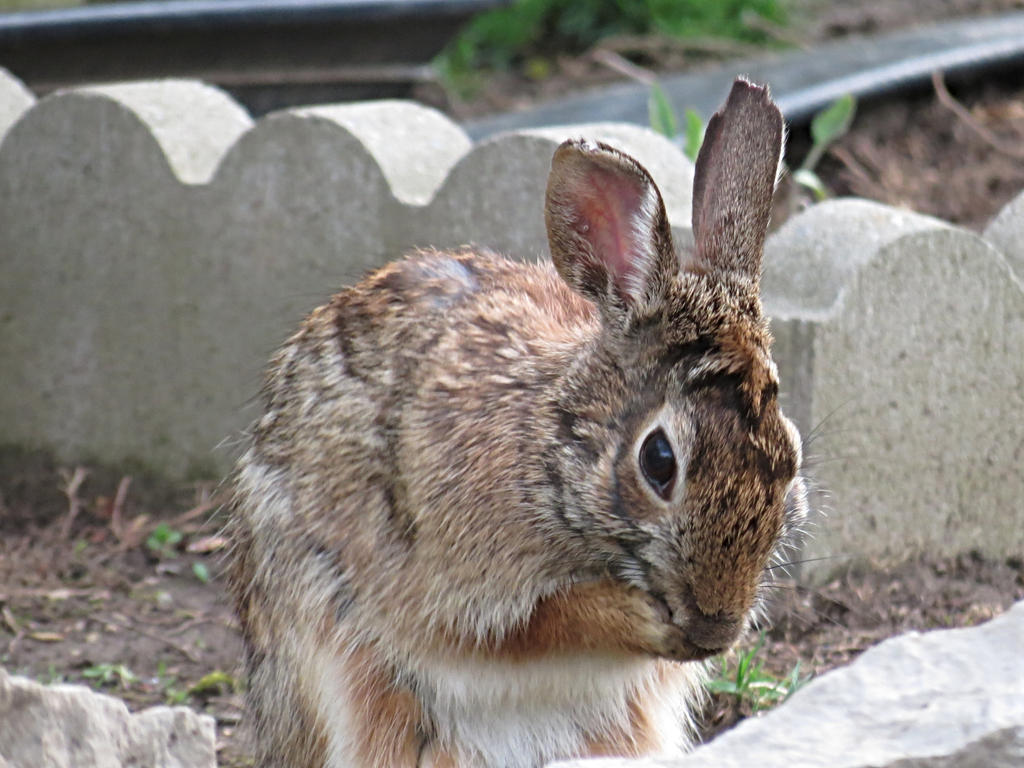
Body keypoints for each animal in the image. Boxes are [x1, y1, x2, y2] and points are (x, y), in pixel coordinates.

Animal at [226, 79, 806, 768]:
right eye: (658, 463)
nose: (717, 626)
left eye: (791, 455)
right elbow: (541, 624)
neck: (555, 457)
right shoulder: (467, 590)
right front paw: (640, 618)